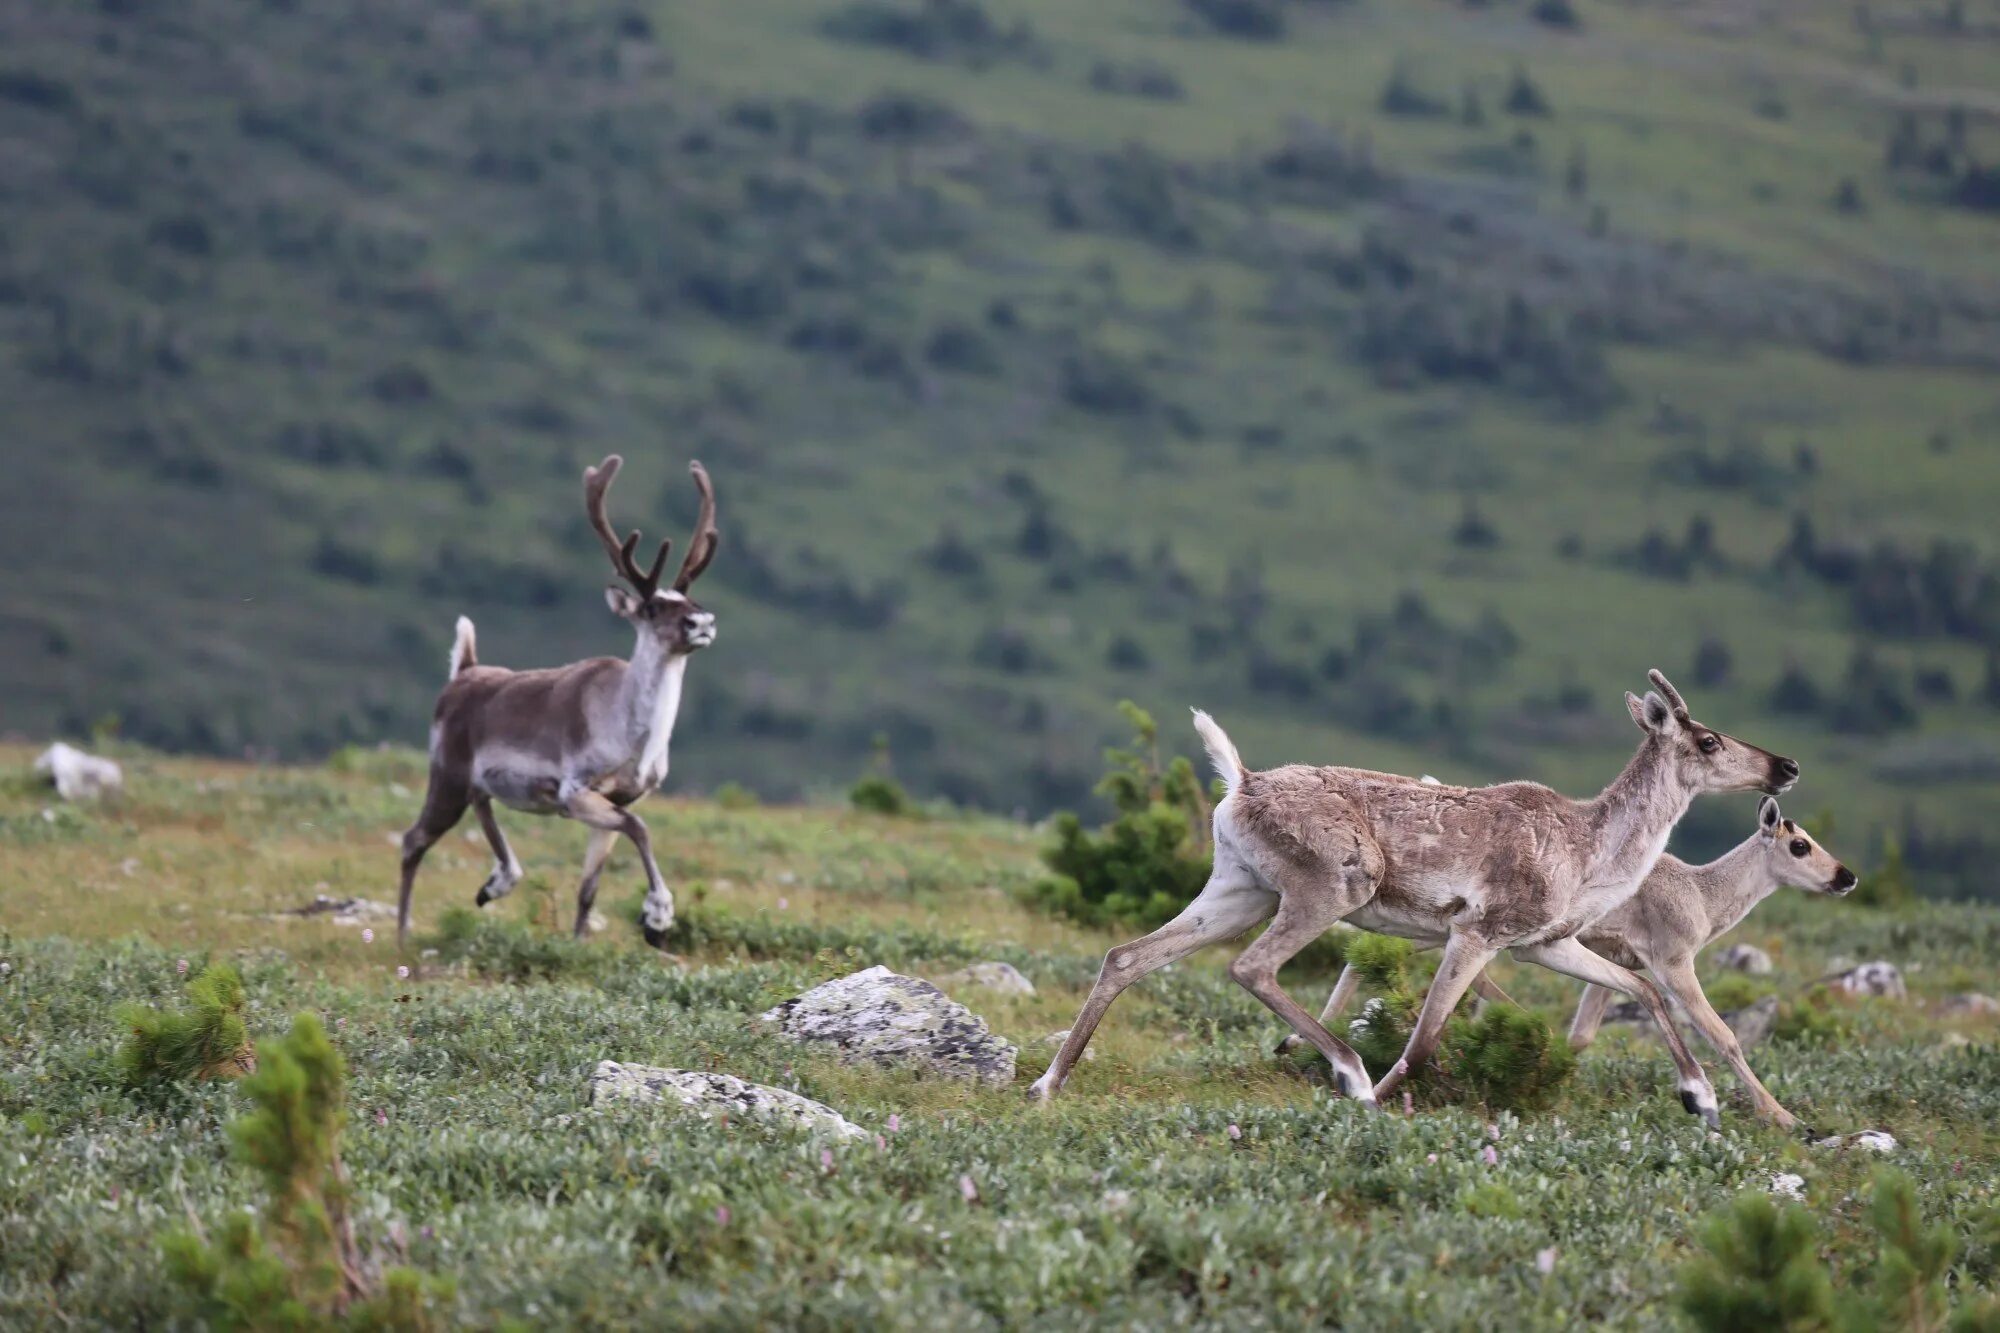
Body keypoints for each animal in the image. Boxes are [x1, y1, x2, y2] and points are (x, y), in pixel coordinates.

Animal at [396, 454, 720, 944]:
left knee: (481, 806)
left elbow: (589, 887)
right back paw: (402, 934)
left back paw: (496, 883)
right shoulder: (575, 792)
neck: (636, 736)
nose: (701, 623)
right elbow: (641, 830)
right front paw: (659, 914)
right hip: (447, 774)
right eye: (651, 607)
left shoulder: (621, 799)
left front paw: (581, 943)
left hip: (473, 781)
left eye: (689, 599)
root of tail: (464, 672)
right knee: (413, 840)